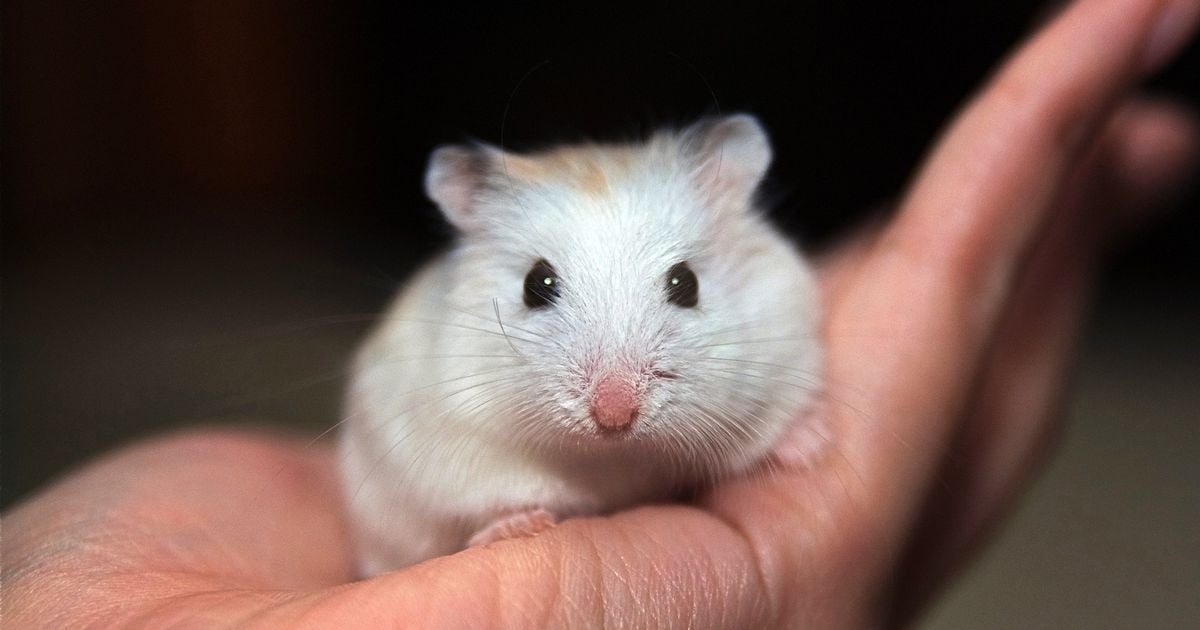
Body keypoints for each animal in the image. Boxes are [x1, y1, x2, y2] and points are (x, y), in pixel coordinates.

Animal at [340, 112, 825, 573]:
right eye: (535, 285)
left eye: (686, 283)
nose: (614, 416)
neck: (613, 454)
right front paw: (517, 526)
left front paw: (810, 445)